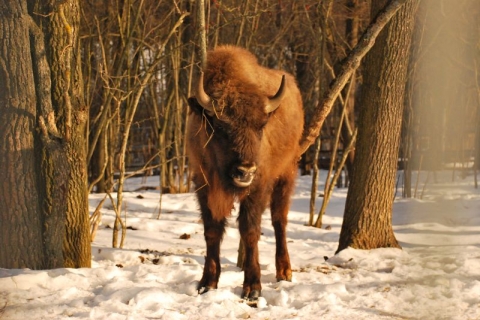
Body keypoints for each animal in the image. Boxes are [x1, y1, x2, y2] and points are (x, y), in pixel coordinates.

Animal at [187, 44, 304, 300]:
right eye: (220, 126)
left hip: (286, 174)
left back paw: (284, 271)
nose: (245, 170)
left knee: (279, 220)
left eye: (261, 126)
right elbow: (212, 231)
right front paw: (207, 283)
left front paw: (252, 288)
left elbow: (249, 231)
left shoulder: (257, 188)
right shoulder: (203, 185)